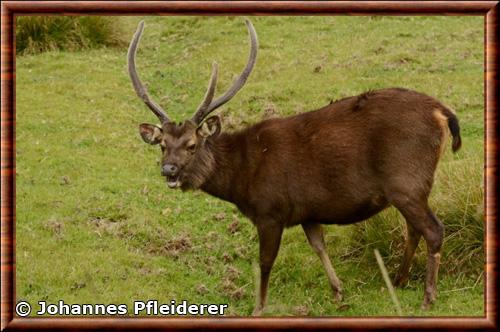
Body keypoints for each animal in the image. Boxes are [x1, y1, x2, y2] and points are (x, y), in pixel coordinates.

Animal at [128, 19, 460, 316]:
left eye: (192, 145)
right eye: (162, 144)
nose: (169, 170)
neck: (242, 180)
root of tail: (442, 112)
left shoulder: (270, 211)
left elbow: (265, 261)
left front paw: (259, 307)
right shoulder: (308, 211)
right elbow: (319, 246)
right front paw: (338, 293)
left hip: (406, 181)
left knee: (433, 229)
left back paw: (428, 297)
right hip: (408, 189)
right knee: (413, 229)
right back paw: (399, 279)